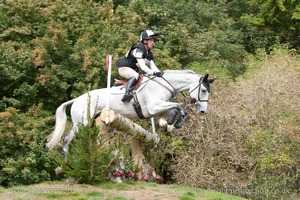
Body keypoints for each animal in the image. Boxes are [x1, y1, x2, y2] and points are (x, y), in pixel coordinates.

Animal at [45, 70, 214, 156]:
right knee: (67, 139)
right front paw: (173, 121)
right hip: (82, 122)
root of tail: (76, 100)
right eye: (203, 90)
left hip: (89, 122)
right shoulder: (154, 107)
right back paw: (66, 163)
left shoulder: (161, 107)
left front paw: (171, 123)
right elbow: (179, 106)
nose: (203, 111)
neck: (164, 85)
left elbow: (177, 110)